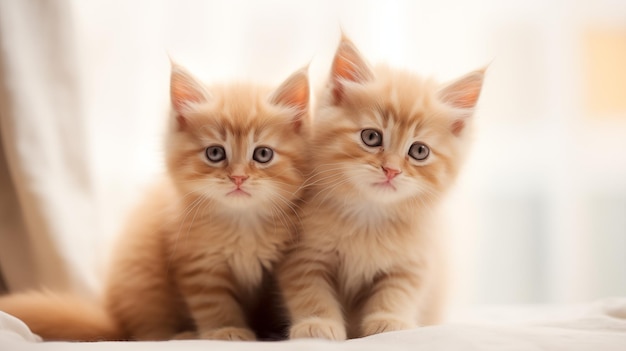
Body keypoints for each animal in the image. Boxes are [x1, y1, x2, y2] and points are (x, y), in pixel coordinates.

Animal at [0, 62, 308, 342]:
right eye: (215, 153)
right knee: (148, 333)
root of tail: (114, 320)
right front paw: (226, 330)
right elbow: (214, 304)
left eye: (263, 154)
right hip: (144, 281)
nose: (238, 178)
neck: (243, 222)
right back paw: (182, 336)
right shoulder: (197, 265)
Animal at [276, 37, 486, 340]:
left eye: (419, 151)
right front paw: (318, 325)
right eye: (371, 137)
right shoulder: (304, 256)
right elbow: (312, 294)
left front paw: (389, 322)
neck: (369, 217)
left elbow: (396, 294)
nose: (391, 170)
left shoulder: (411, 263)